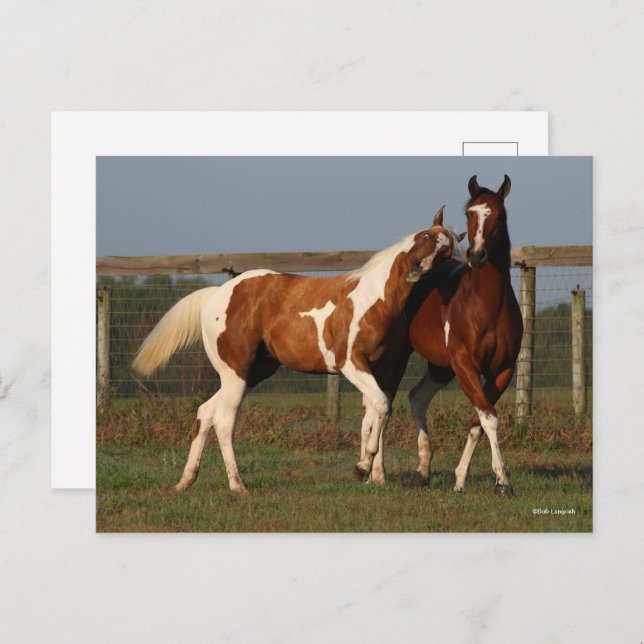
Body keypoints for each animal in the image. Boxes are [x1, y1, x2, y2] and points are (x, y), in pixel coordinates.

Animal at [132, 207, 456, 493]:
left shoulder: (389, 370)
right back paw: (238, 486)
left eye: (447, 252)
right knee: (224, 421)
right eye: (425, 236)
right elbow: (379, 407)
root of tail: (217, 295)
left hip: (252, 373)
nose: (418, 269)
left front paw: (375, 477)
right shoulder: (350, 363)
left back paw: (185, 481)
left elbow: (378, 413)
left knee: (206, 412)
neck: (376, 300)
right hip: (236, 373)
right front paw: (362, 467)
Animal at [405, 175, 523, 495]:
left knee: (417, 397)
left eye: (501, 215)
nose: (477, 254)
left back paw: (422, 472)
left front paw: (460, 479)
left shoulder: (502, 370)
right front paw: (503, 481)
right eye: (469, 213)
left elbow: (478, 421)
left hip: (439, 368)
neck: (484, 306)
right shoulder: (464, 365)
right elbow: (489, 418)